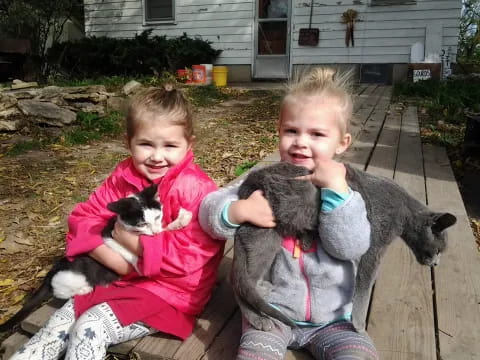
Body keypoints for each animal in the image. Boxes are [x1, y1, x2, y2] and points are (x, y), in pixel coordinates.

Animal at [0, 186, 191, 332]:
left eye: (157, 217)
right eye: (142, 223)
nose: (155, 231)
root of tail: (50, 273)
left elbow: (164, 232)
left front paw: (181, 219)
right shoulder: (110, 239)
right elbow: (130, 251)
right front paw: (141, 261)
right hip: (74, 275)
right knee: (61, 290)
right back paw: (85, 289)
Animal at [231, 163, 456, 332]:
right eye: (438, 250)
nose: (436, 263)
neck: (404, 212)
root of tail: (248, 183)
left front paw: (307, 239)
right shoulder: (374, 247)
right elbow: (364, 289)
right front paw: (359, 325)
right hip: (266, 232)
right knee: (240, 284)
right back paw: (259, 319)